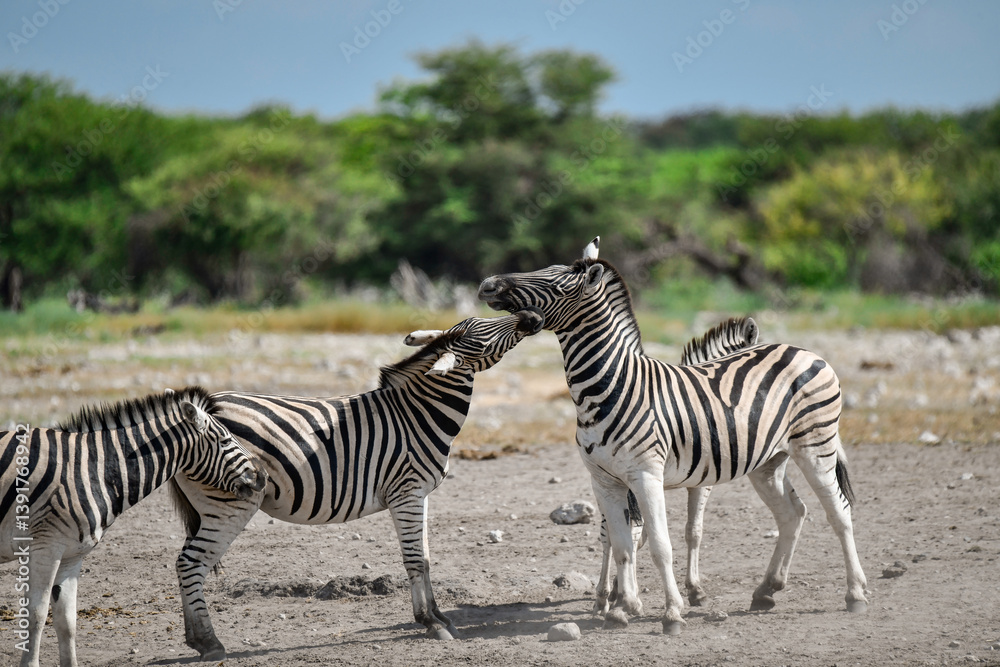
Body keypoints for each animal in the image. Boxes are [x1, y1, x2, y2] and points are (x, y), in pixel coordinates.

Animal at [0, 386, 266, 667]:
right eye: (225, 441)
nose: (263, 475)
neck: (93, 469)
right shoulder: (45, 547)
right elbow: (37, 615)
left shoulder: (71, 554)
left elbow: (66, 620)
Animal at [167, 308, 544, 660]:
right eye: (483, 337)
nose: (532, 315)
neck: (416, 415)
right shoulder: (406, 493)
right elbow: (413, 559)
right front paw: (429, 623)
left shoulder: (420, 494)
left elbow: (424, 558)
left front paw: (438, 616)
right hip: (231, 503)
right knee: (191, 563)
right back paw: (209, 643)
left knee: (188, 563)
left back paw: (196, 639)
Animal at [597, 316, 759, 617]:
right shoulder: (701, 483)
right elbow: (685, 532)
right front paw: (693, 590)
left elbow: (688, 532)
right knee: (610, 538)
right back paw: (607, 596)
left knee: (621, 536)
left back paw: (613, 593)